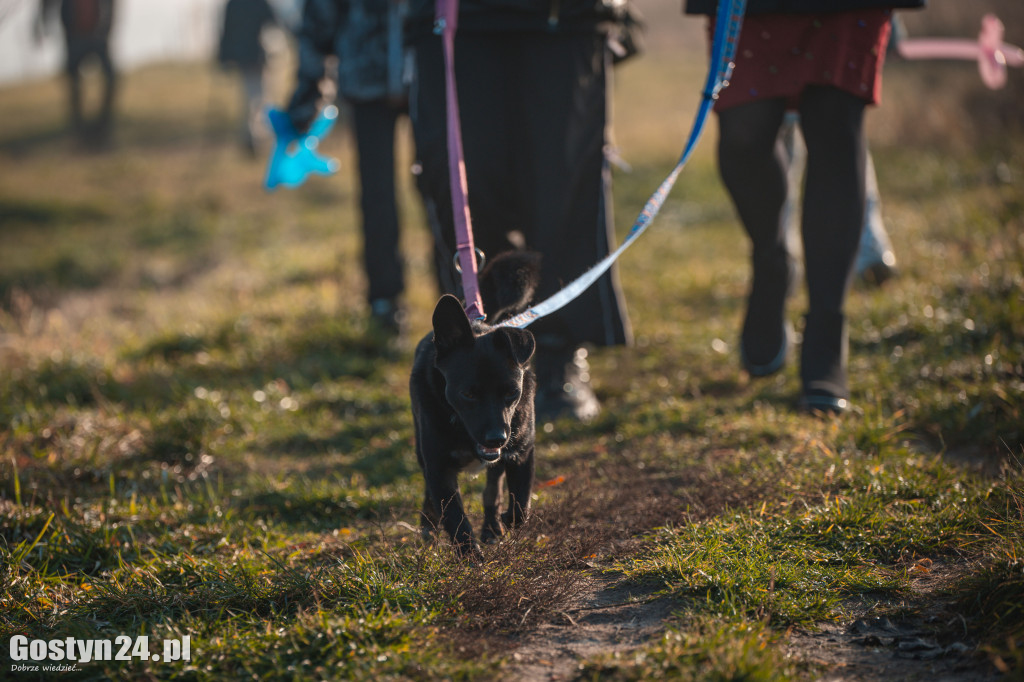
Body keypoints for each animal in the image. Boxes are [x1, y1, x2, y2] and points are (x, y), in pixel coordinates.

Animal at [407, 251, 540, 557]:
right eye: (468, 394)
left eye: (511, 393)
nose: (496, 438)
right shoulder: (438, 468)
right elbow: (455, 518)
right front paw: (472, 559)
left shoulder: (522, 451)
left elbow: (521, 504)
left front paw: (505, 521)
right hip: (422, 451)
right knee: (431, 495)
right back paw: (428, 526)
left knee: (493, 488)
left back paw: (491, 527)